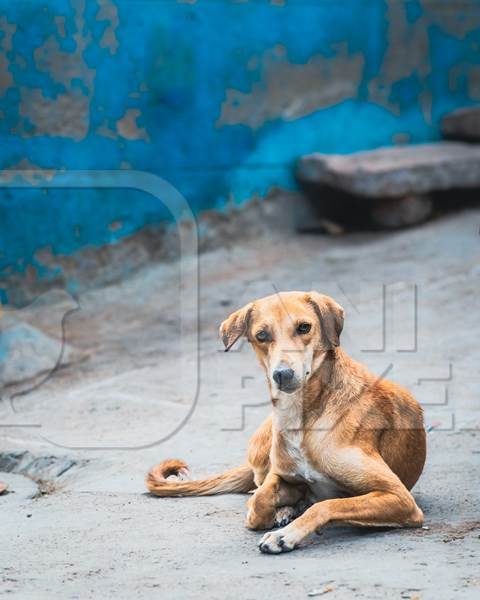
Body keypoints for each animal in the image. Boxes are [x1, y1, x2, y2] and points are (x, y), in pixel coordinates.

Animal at [144, 290, 426, 552]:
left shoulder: (399, 497)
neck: (304, 417)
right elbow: (261, 499)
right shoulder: (281, 474)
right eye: (261, 336)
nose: (282, 374)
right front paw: (278, 510)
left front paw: (286, 534)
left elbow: (327, 504)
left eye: (304, 327)